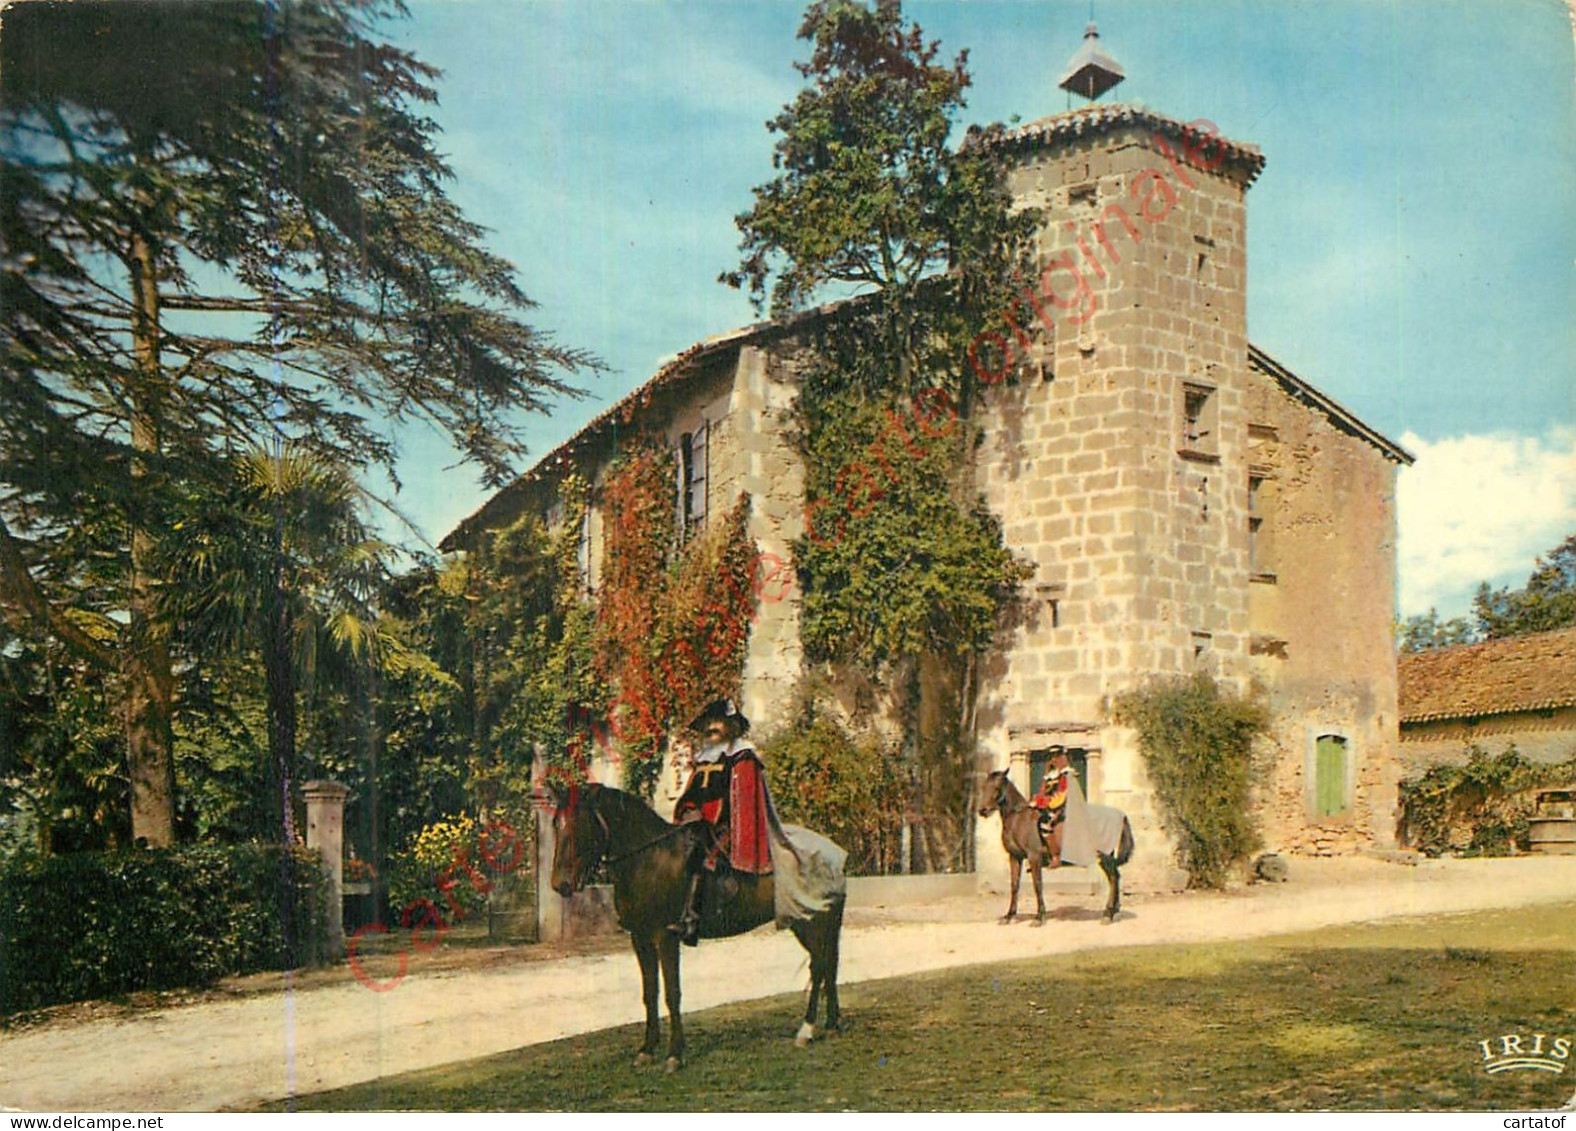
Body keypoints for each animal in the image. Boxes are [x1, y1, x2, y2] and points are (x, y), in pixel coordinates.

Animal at [548, 784, 844, 1077]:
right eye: (556, 824)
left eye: (579, 823)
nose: (560, 884)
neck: (649, 859)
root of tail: (832, 852)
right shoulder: (640, 939)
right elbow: (650, 993)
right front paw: (647, 1050)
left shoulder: (665, 937)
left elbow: (672, 994)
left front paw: (674, 1055)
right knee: (828, 966)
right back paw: (831, 1025)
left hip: (809, 923)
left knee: (819, 967)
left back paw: (806, 1030)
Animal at [970, 771, 1134, 932]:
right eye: (984, 787)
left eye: (997, 787)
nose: (983, 810)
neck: (1017, 819)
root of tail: (1119, 815)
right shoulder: (1015, 857)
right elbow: (1014, 885)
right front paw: (1009, 916)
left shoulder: (1034, 857)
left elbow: (1037, 885)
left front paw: (1039, 917)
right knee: (1115, 877)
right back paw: (1113, 911)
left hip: (1105, 856)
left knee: (1113, 879)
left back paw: (1108, 914)